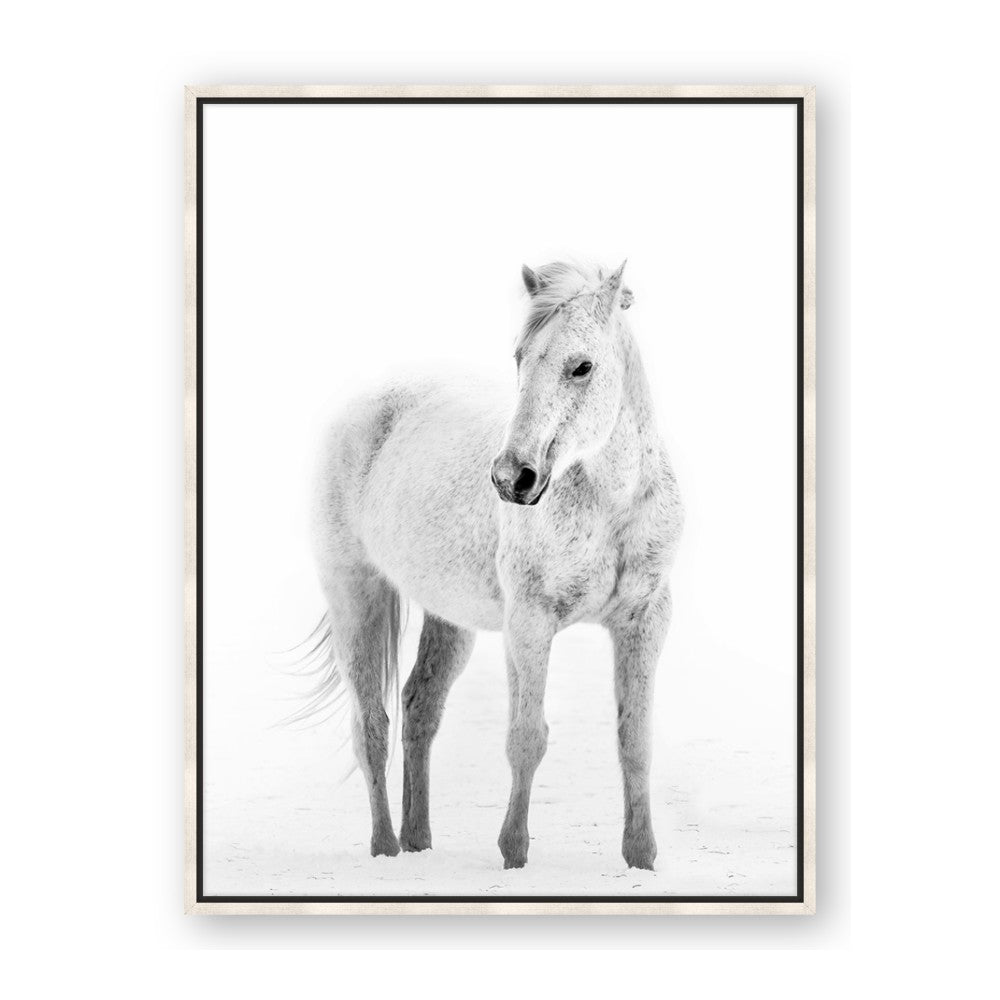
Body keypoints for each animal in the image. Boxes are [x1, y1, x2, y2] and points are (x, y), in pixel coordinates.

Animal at [307, 259, 683, 870]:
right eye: (520, 358)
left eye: (582, 366)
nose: (512, 478)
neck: (611, 505)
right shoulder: (529, 623)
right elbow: (526, 738)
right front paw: (513, 854)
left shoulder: (646, 620)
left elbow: (635, 741)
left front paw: (641, 859)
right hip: (354, 595)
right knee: (372, 726)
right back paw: (386, 849)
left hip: (448, 618)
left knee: (419, 708)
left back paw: (418, 840)